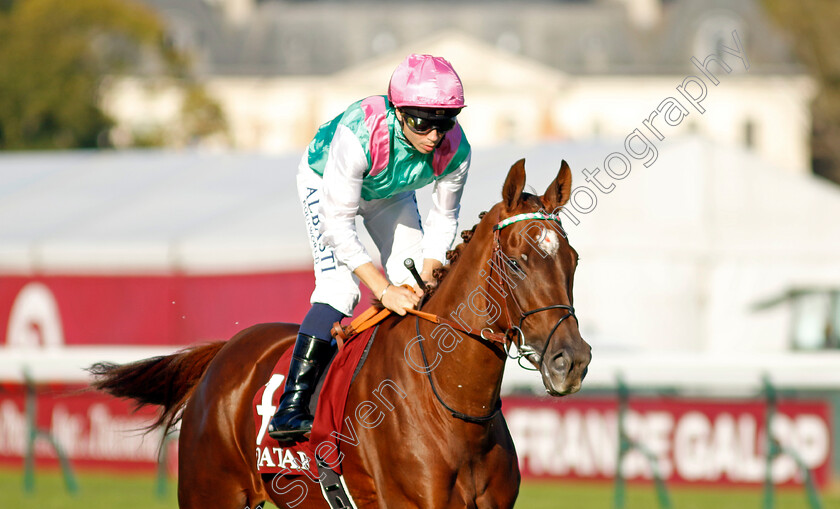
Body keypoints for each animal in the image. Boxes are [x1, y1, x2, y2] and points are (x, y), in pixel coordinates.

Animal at [90, 159, 592, 508]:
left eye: (573, 259)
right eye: (517, 262)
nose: (572, 360)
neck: (455, 411)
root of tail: (223, 354)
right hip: (210, 493)